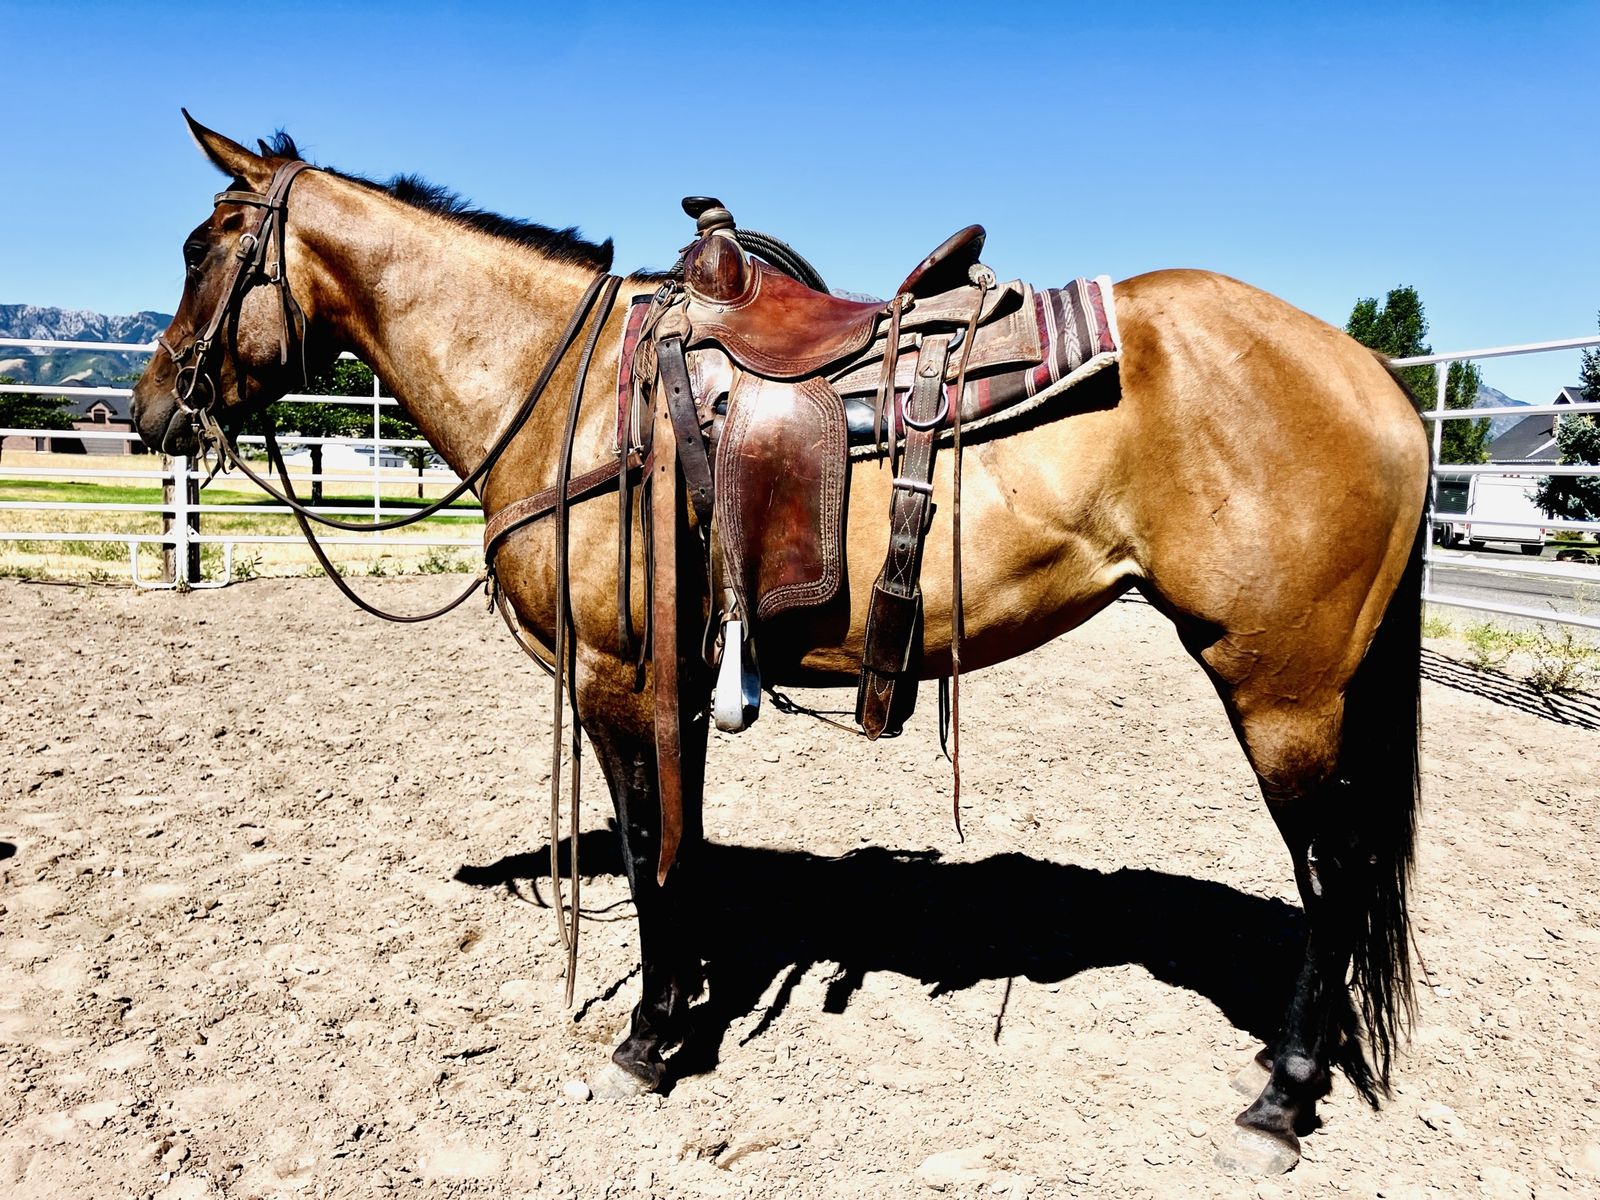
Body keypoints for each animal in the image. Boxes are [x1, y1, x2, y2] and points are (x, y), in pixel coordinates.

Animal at [131, 115, 1430, 1176]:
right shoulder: (684, 678)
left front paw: (651, 1038)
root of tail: (1376, 379)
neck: (567, 394)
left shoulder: (617, 681)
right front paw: (692, 1003)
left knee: (1332, 882)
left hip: (1281, 692)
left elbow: (648, 848)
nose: (149, 414)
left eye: (203, 250)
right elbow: (686, 844)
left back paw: (1280, 1100)